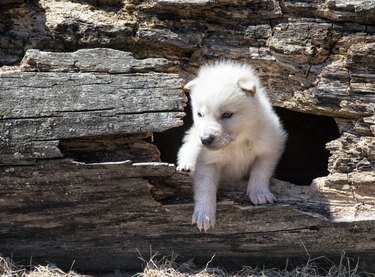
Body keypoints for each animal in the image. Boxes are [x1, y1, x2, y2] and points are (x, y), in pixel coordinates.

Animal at [178, 59, 286, 231]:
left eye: (227, 114)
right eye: (200, 114)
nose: (206, 139)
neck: (237, 142)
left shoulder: (269, 148)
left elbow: (260, 171)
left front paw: (259, 193)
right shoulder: (207, 162)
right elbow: (205, 187)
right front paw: (204, 214)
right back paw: (186, 165)